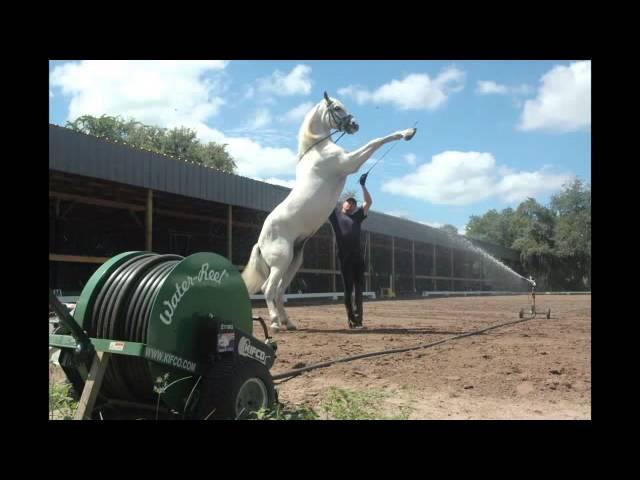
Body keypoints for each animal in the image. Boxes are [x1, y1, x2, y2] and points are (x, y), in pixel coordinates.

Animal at [240, 91, 416, 330]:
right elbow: (376, 141)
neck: (318, 150)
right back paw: (276, 324)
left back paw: (289, 323)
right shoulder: (350, 162)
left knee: (279, 290)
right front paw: (407, 133)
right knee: (268, 288)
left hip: (292, 262)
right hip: (280, 261)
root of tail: (261, 241)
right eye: (337, 108)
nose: (355, 125)